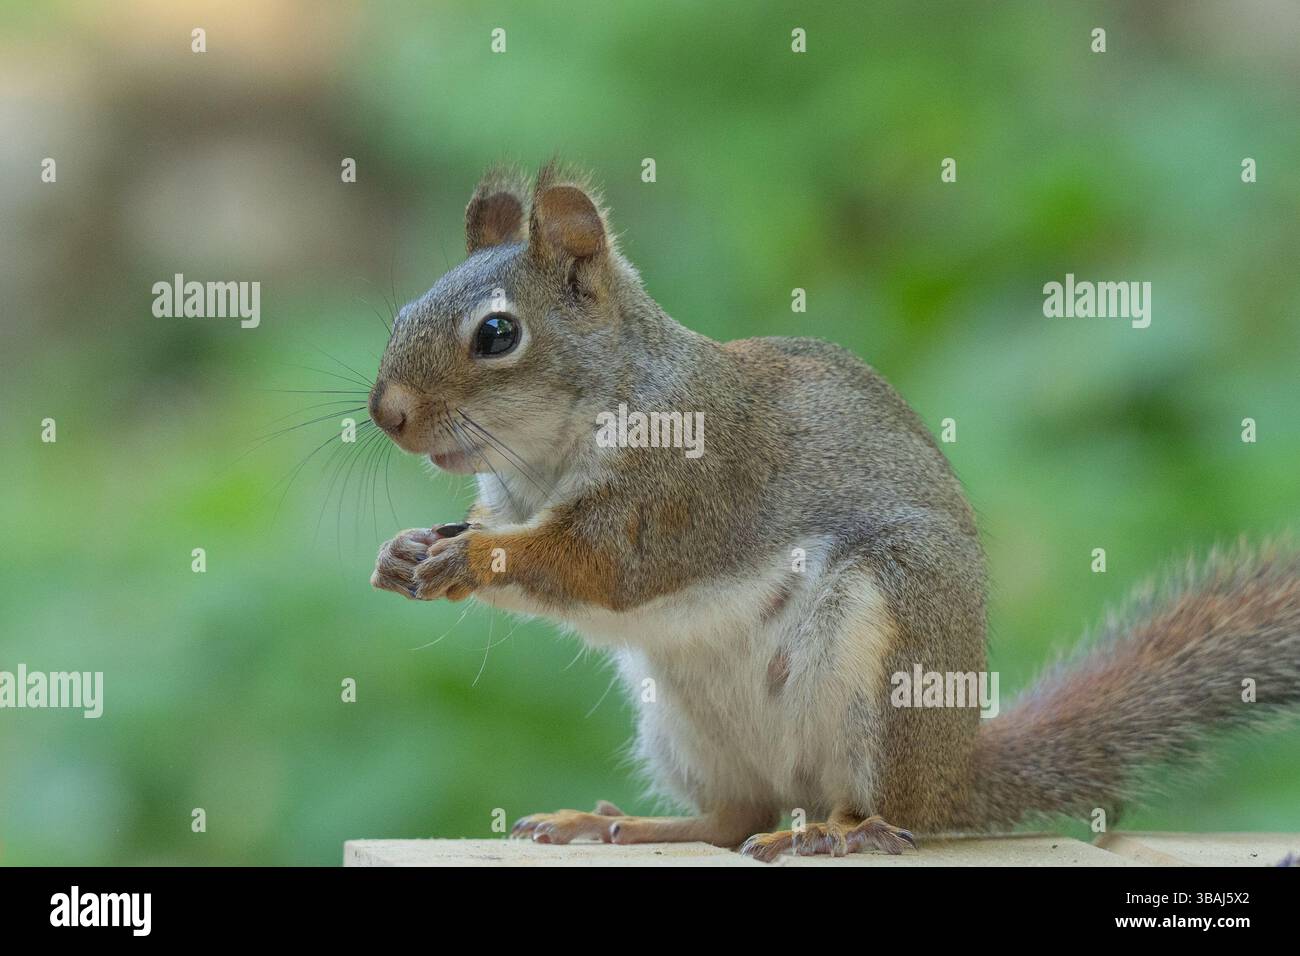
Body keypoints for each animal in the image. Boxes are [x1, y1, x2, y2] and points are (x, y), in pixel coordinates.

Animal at [366, 162, 1300, 861]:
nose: (387, 414)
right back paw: (617, 824)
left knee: (879, 814)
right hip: (679, 718)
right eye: (404, 309)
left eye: (497, 335)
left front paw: (469, 559)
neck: (547, 456)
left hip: (883, 652)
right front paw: (410, 549)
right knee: (737, 815)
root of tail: (953, 771)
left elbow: (597, 566)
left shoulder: (679, 490)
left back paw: (837, 832)